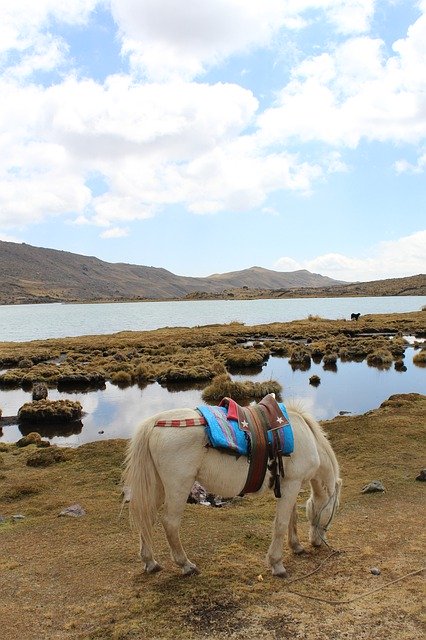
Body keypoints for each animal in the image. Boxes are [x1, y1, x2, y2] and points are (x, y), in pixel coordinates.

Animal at [124, 402, 342, 576]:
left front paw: (296, 546)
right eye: (333, 510)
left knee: (147, 517)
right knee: (170, 522)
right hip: (178, 486)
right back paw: (186, 565)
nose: (317, 542)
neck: (306, 437)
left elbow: (291, 517)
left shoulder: (289, 485)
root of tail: (154, 423)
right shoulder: (292, 484)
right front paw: (277, 564)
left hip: (157, 486)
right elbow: (281, 524)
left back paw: (150, 562)